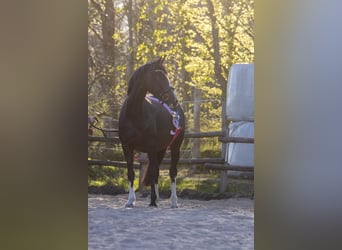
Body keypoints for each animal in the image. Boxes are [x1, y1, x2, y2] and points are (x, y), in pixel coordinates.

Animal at [119, 57, 186, 208]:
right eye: (158, 76)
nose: (174, 99)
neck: (135, 114)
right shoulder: (127, 147)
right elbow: (131, 173)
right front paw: (130, 200)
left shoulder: (151, 148)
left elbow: (155, 172)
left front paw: (153, 200)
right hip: (161, 149)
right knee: (156, 172)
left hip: (175, 147)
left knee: (172, 172)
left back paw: (173, 201)